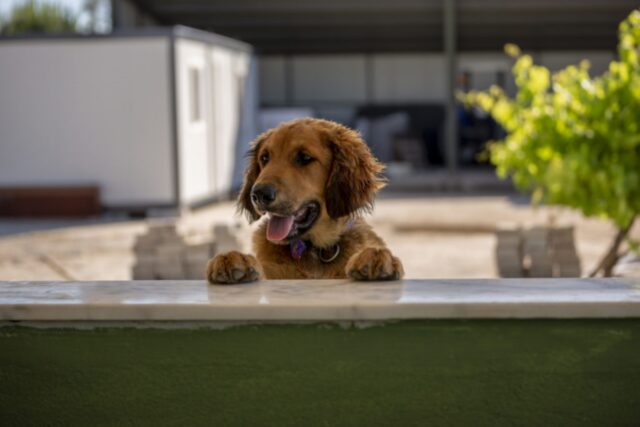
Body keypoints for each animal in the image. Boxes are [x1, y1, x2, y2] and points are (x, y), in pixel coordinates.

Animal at [208, 118, 402, 284]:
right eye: (264, 158)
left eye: (304, 158)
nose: (258, 194)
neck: (317, 251)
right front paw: (236, 259)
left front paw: (373, 256)